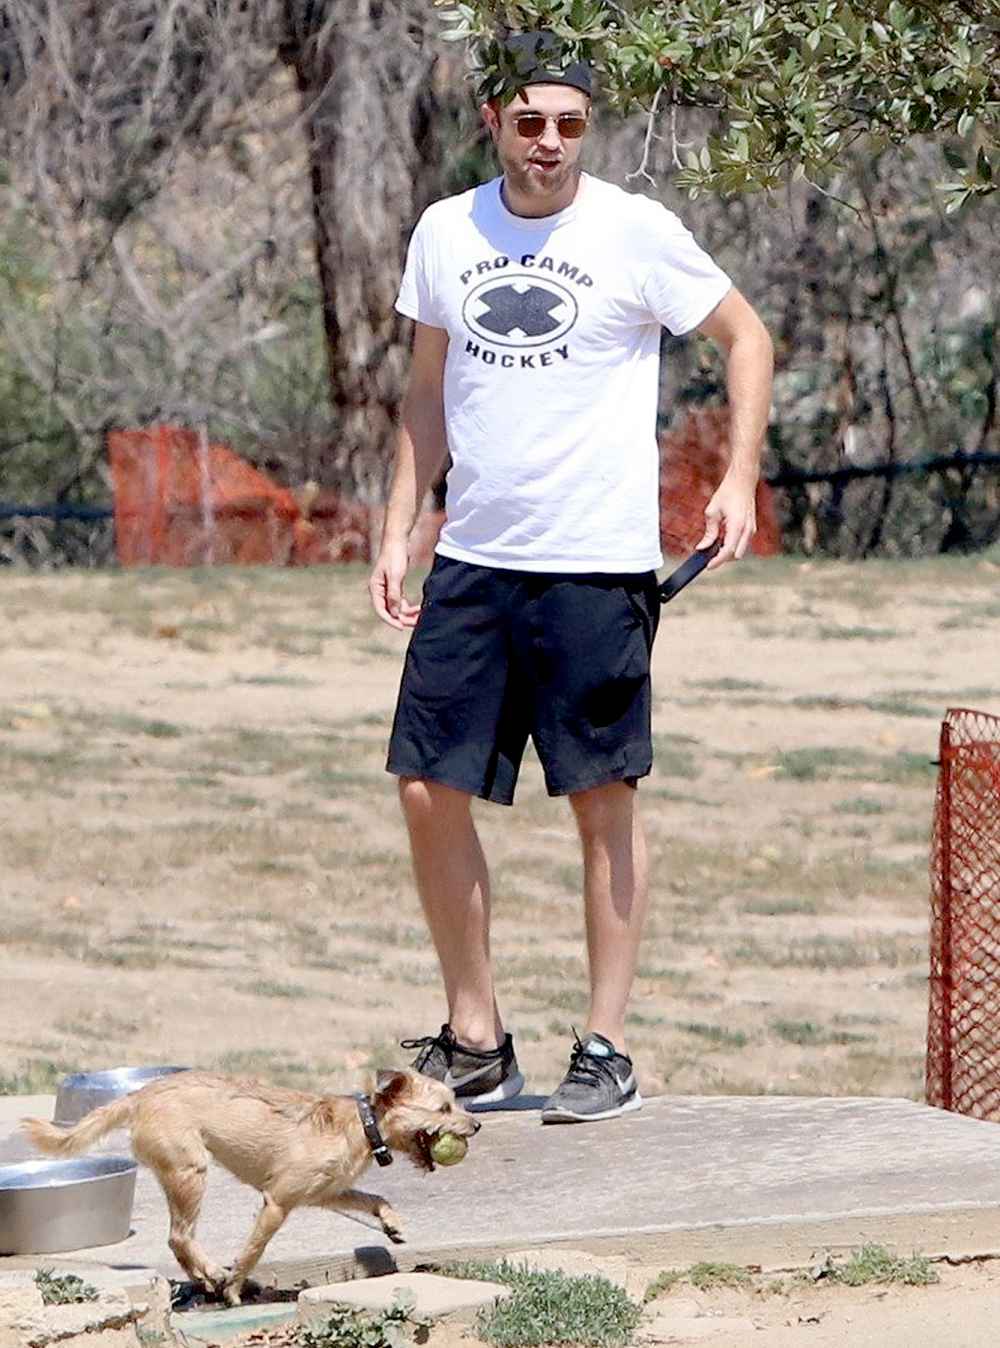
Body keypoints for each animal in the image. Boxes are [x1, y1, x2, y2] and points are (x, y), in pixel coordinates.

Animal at [21, 1067, 477, 1299]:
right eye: (444, 1108)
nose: (475, 1124)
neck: (362, 1125)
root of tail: (139, 1095)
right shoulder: (276, 1202)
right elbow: (254, 1251)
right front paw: (236, 1287)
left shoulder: (327, 1193)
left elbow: (374, 1196)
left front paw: (392, 1224)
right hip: (191, 1172)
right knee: (179, 1236)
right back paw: (212, 1273)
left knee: (178, 1240)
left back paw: (204, 1279)